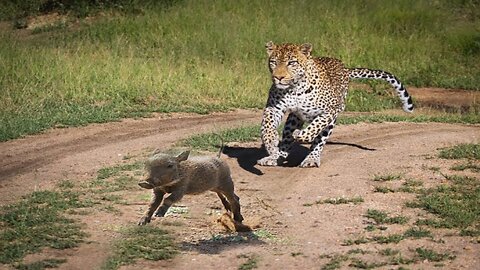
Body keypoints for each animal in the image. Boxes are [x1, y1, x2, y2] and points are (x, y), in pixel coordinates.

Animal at [256, 41, 414, 168]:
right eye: (273, 62)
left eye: (292, 63)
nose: (278, 77)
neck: (294, 89)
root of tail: (344, 67)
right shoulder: (274, 107)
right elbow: (267, 125)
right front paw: (271, 143)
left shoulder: (331, 110)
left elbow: (314, 127)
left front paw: (301, 135)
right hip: (295, 118)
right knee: (287, 139)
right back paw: (275, 157)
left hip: (332, 119)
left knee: (319, 140)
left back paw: (311, 159)